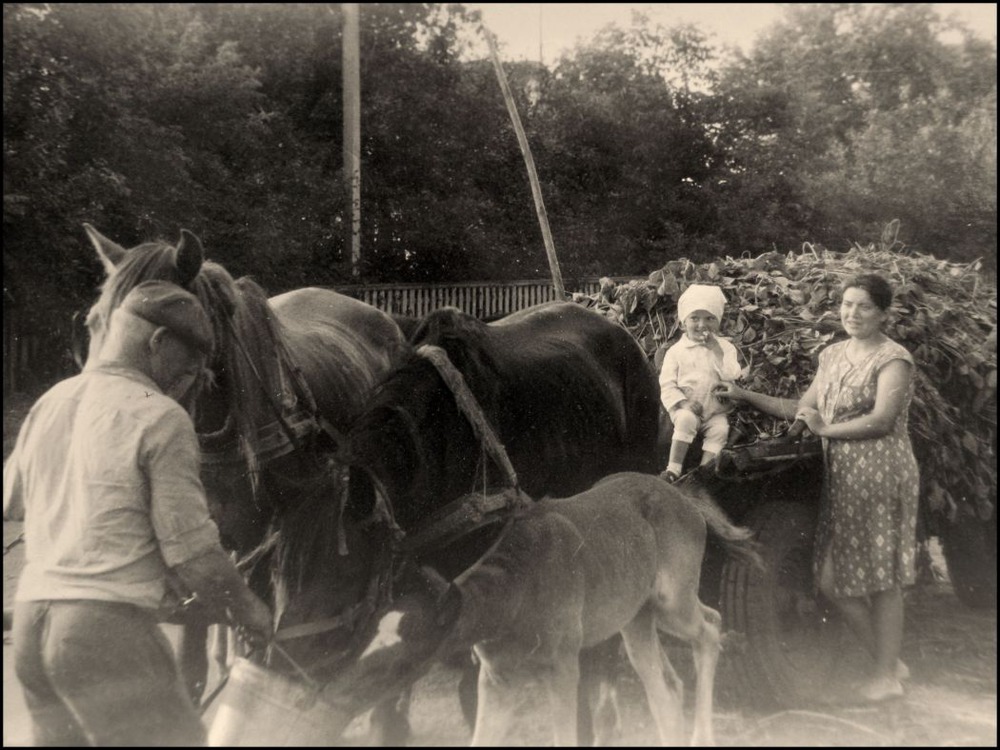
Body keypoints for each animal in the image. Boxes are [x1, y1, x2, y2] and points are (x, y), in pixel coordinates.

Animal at [316, 472, 752, 748]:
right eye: (363, 642)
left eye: (402, 664)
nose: (334, 701)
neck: (518, 592)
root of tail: (683, 498)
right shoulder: (496, 678)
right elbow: (481, 738)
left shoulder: (563, 667)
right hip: (635, 618)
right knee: (665, 684)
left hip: (670, 600)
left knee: (710, 628)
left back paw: (703, 736)